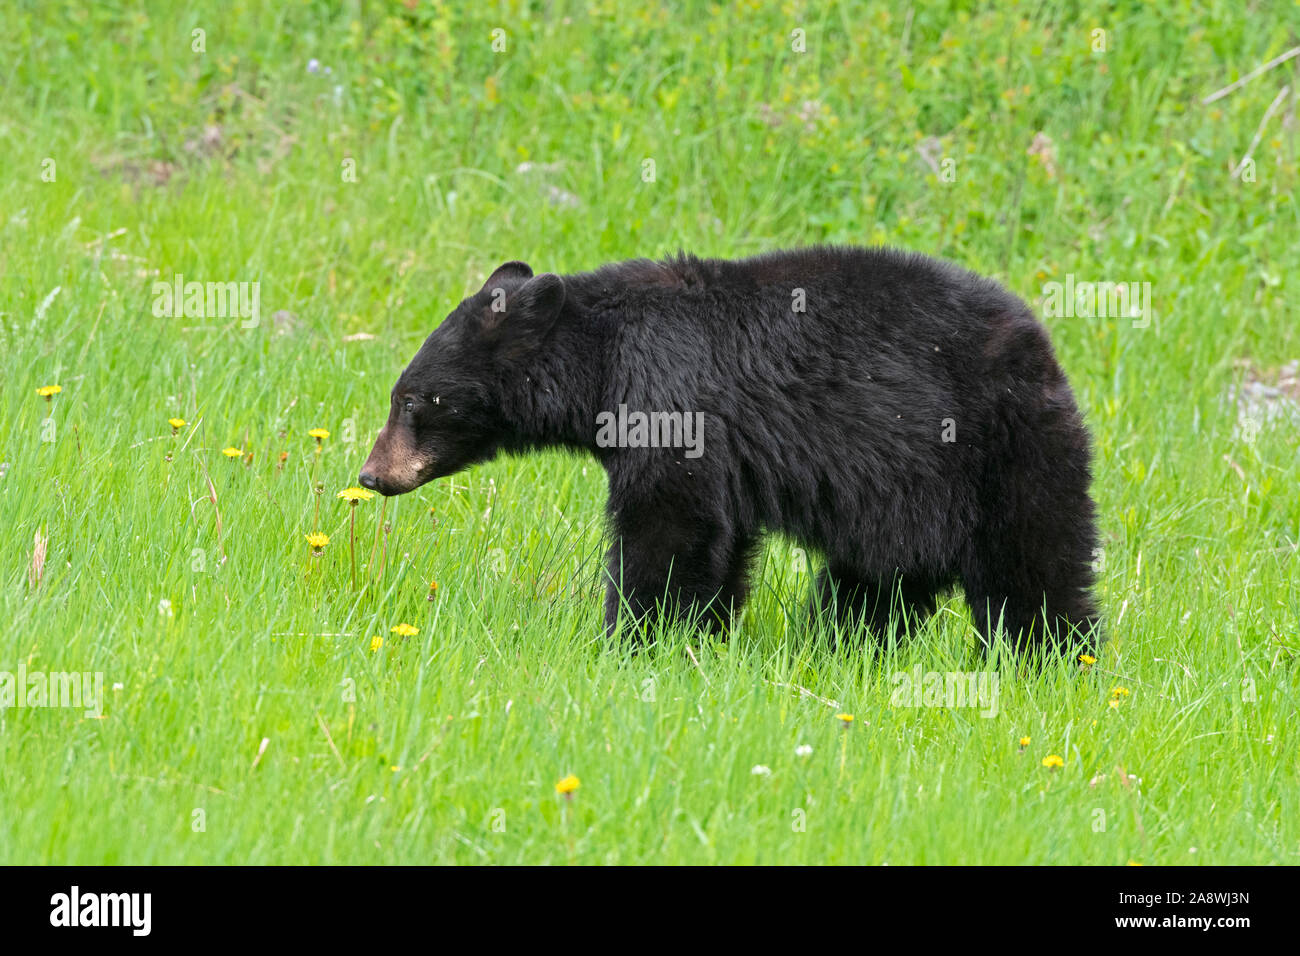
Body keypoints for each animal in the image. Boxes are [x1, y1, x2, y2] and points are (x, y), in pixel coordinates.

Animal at [359, 247, 1099, 654]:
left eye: (413, 401)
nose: (371, 474)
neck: (600, 360)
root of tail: (1045, 350)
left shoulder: (672, 402)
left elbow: (666, 528)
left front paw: (635, 640)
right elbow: (719, 541)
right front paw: (701, 639)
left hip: (1002, 453)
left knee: (1033, 568)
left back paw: (1054, 661)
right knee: (875, 585)